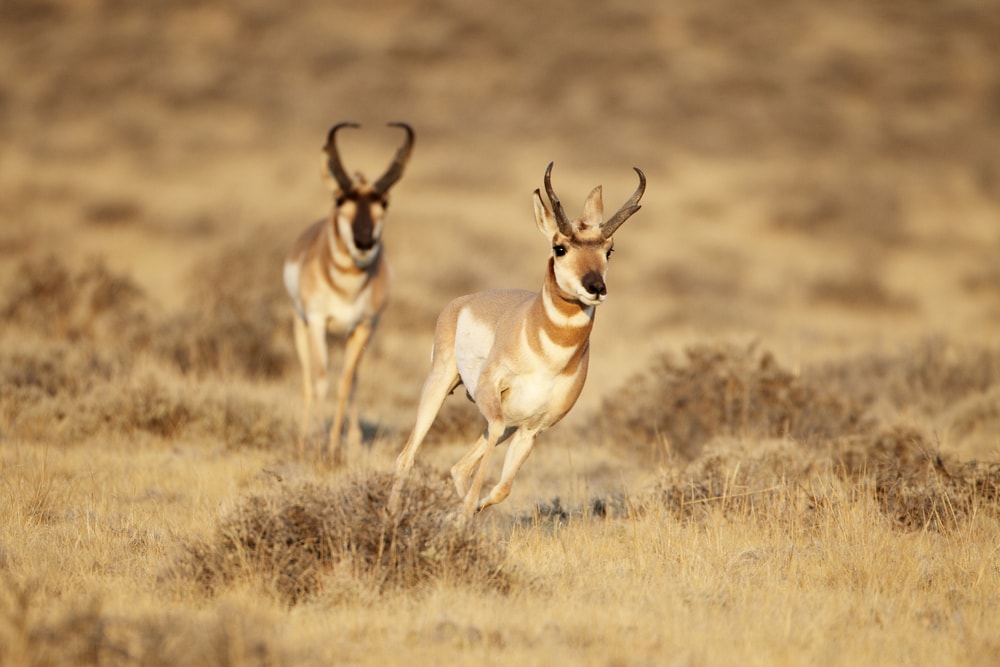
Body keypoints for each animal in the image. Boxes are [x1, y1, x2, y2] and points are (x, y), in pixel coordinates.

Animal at [284, 121, 414, 461]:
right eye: (340, 200)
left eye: (384, 203)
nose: (364, 242)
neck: (347, 287)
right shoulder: (317, 323)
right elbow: (320, 382)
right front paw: (318, 447)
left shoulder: (364, 327)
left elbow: (344, 384)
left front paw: (333, 446)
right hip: (302, 327)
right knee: (307, 380)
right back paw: (302, 440)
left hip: (352, 335)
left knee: (353, 379)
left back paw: (352, 440)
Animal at [389, 162, 645, 519]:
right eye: (560, 247)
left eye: (609, 250)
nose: (596, 287)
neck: (547, 354)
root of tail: (463, 301)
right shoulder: (493, 401)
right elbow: (487, 462)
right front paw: (462, 514)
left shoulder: (531, 430)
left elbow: (502, 489)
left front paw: (465, 512)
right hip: (439, 387)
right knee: (407, 457)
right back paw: (392, 516)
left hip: (509, 421)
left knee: (459, 468)